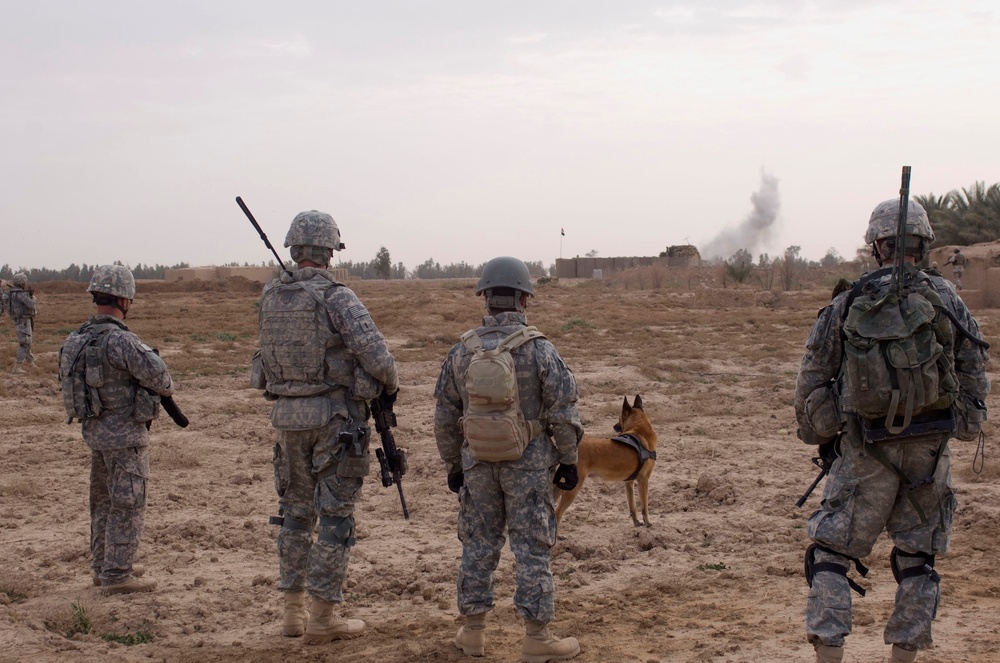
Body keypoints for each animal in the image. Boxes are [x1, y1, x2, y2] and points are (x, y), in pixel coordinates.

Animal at [556, 394, 656, 528]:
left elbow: (633, 506)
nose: (614, 426)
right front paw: (648, 523)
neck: (639, 431)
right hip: (572, 488)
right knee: (557, 514)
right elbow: (645, 507)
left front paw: (636, 522)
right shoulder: (644, 480)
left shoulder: (628, 483)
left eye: (619, 418)